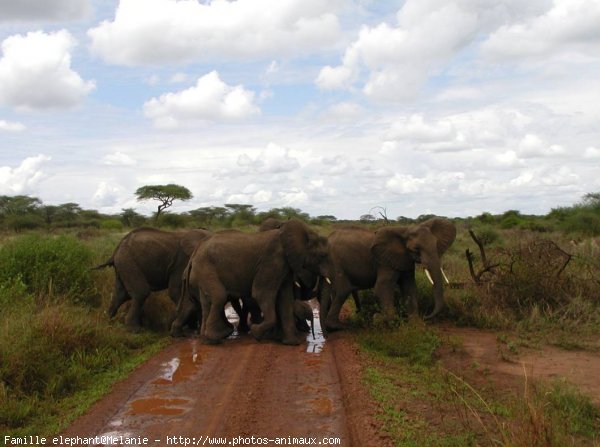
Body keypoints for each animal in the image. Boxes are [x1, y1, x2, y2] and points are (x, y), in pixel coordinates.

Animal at [183, 219, 330, 344]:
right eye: (323, 255)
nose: (320, 338)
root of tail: (194, 254)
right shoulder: (272, 262)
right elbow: (261, 294)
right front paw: (256, 332)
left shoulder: (284, 267)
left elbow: (285, 299)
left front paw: (291, 343)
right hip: (206, 269)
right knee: (219, 296)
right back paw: (215, 338)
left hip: (203, 273)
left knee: (207, 302)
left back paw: (208, 338)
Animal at [322, 219, 458, 330]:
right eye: (416, 249)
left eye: (436, 244)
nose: (427, 316)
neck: (405, 231)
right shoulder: (385, 262)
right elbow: (381, 288)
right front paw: (380, 320)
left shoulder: (405, 260)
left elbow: (409, 288)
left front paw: (416, 325)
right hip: (334, 262)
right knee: (343, 290)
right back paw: (340, 326)